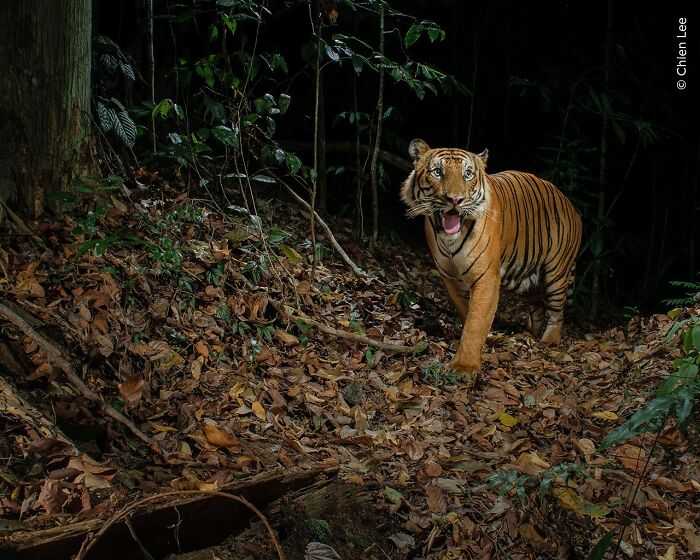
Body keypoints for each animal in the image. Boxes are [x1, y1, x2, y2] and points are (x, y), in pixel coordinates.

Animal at [401, 139, 582, 385]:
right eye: (438, 172)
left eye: (468, 174)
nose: (455, 200)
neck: (449, 239)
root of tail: (570, 204)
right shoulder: (449, 276)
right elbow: (466, 310)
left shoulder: (486, 277)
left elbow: (476, 321)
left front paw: (464, 367)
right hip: (525, 280)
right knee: (537, 306)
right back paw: (530, 335)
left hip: (556, 271)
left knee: (556, 310)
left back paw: (549, 341)